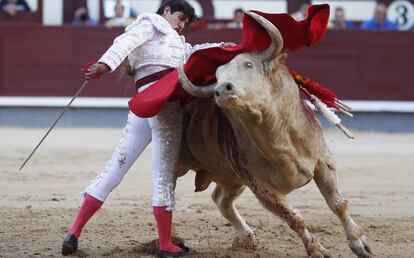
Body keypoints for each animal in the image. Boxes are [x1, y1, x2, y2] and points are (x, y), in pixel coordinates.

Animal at [172, 11, 372, 256]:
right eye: (216, 76)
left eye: (248, 64)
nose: (221, 90)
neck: (279, 138)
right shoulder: (262, 188)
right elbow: (294, 218)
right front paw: (318, 250)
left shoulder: (322, 161)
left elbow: (338, 204)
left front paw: (359, 243)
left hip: (231, 177)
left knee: (221, 200)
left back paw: (246, 238)